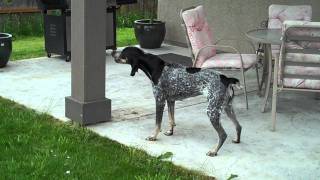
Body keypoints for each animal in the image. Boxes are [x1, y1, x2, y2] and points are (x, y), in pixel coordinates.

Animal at [111, 46, 241, 156]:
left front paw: (153, 136)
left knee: (223, 135)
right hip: (227, 107)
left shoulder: (159, 100)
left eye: (123, 52)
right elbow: (171, 119)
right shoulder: (170, 101)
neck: (156, 68)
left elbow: (158, 123)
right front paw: (170, 132)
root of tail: (226, 78)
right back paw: (237, 140)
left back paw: (214, 151)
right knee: (238, 126)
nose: (112, 52)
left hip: (212, 111)